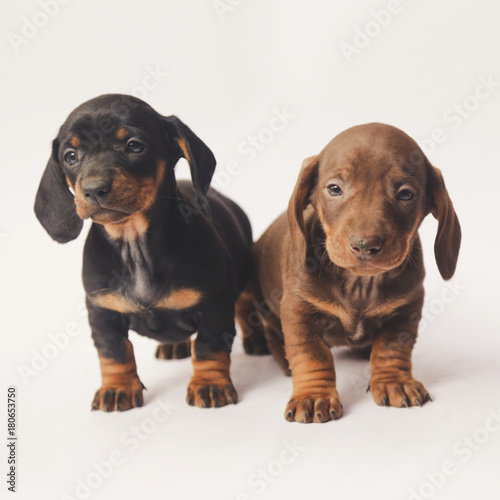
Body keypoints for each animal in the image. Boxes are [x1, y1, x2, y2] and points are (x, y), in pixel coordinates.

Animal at [35, 95, 254, 412]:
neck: (134, 244)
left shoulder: (214, 305)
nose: (93, 190)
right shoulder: (102, 312)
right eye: (70, 156)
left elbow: (208, 347)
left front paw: (210, 384)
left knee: (246, 306)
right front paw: (117, 389)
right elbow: (114, 353)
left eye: (135, 146)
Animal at [238, 122, 460, 422]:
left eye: (405, 194)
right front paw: (314, 396)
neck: (360, 283)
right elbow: (311, 354)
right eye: (334, 189)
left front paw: (393, 381)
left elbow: (392, 347)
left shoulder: (407, 308)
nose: (365, 245)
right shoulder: (297, 309)